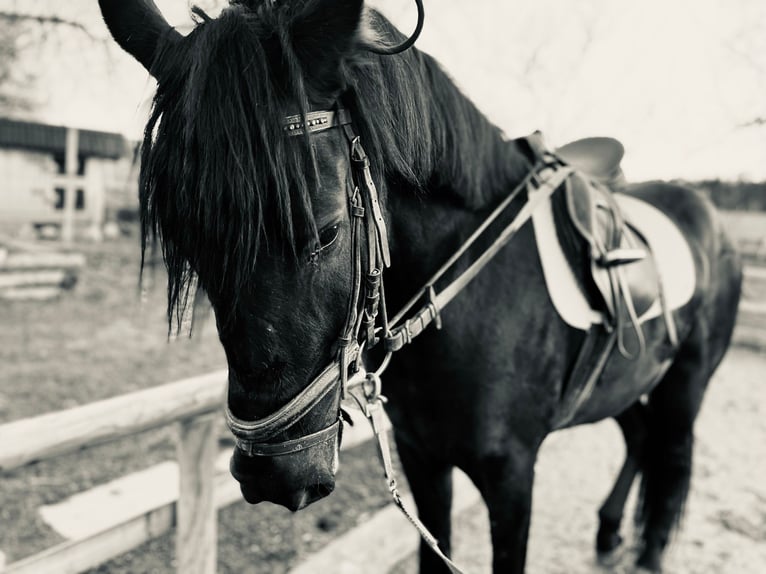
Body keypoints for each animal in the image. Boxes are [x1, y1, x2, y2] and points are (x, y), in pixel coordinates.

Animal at [97, 2, 744, 572]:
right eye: (188, 241)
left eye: (326, 231)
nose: (270, 473)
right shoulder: (423, 461)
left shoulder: (512, 474)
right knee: (640, 440)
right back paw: (610, 532)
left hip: (686, 385)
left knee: (671, 457)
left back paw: (649, 551)